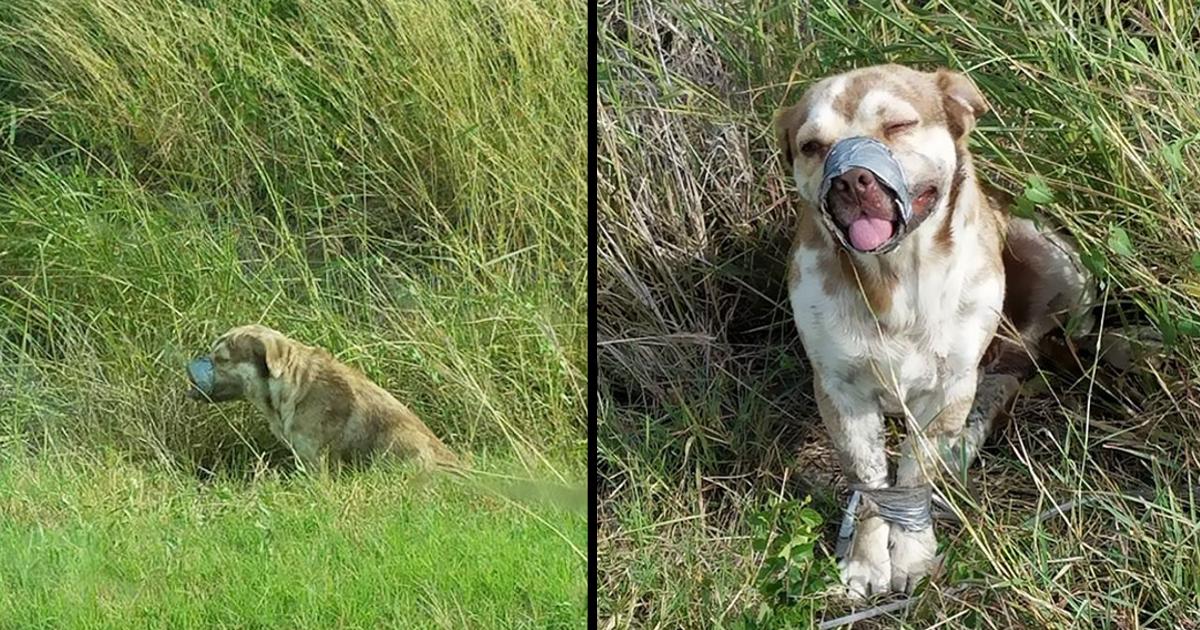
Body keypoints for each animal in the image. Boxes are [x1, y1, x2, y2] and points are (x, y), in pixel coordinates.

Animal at [777, 65, 1099, 600]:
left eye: (899, 125)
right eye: (812, 146)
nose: (850, 179)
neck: (895, 280)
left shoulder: (948, 387)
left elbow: (913, 471)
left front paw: (911, 554)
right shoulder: (841, 391)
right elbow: (871, 481)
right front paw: (866, 559)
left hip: (1055, 259)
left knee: (1013, 369)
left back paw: (963, 445)